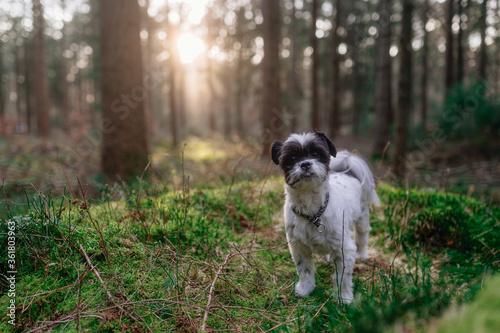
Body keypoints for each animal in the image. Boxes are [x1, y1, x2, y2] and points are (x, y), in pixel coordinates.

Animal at [274, 131, 378, 302]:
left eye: (316, 153)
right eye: (292, 158)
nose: (305, 164)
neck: (312, 212)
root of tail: (347, 170)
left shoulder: (345, 249)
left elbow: (343, 276)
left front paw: (344, 298)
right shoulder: (298, 247)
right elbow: (305, 269)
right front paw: (305, 289)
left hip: (363, 216)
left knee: (362, 236)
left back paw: (362, 255)